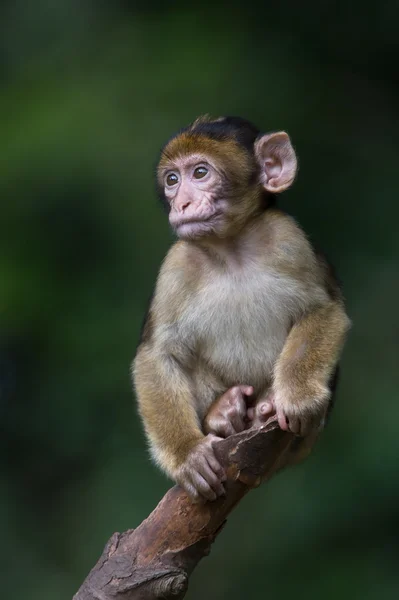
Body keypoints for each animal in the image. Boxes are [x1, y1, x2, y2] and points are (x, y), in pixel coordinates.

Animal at [134, 115, 350, 504]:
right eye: (172, 180)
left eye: (200, 172)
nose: (181, 204)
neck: (230, 249)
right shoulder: (175, 266)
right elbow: (157, 354)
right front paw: (187, 455)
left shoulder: (289, 239)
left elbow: (324, 309)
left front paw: (296, 398)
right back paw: (222, 414)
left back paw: (265, 406)